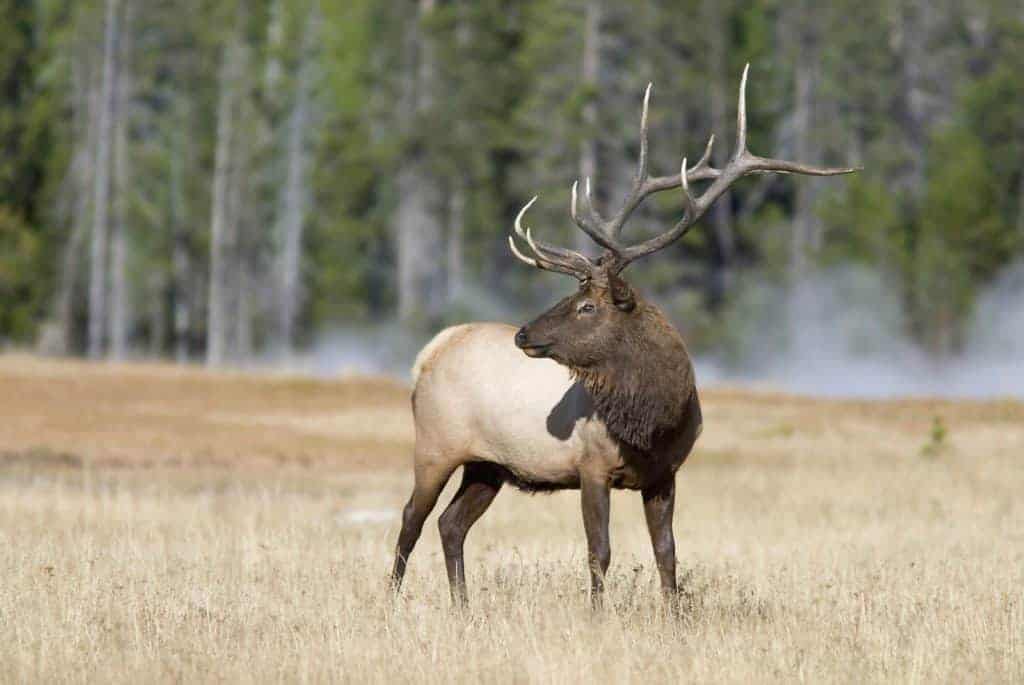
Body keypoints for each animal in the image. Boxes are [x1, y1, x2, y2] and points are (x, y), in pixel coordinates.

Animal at [391, 65, 856, 607]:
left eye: (587, 305)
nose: (523, 334)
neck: (653, 422)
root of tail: (428, 352)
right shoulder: (591, 467)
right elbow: (600, 551)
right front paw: (596, 613)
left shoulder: (666, 474)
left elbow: (667, 552)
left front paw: (673, 614)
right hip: (435, 445)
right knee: (411, 517)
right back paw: (392, 598)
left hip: (490, 465)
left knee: (451, 524)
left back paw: (463, 606)